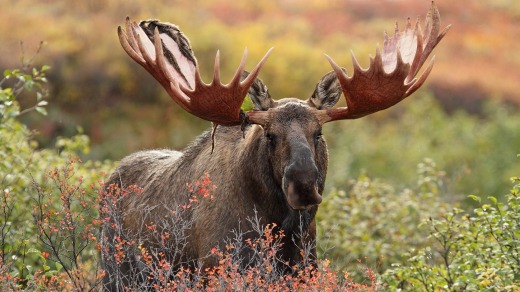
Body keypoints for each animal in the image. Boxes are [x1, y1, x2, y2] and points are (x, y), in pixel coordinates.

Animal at [100, 2, 446, 290]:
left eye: (319, 132)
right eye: (270, 135)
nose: (303, 185)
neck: (282, 229)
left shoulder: (305, 267)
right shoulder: (215, 267)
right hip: (114, 271)